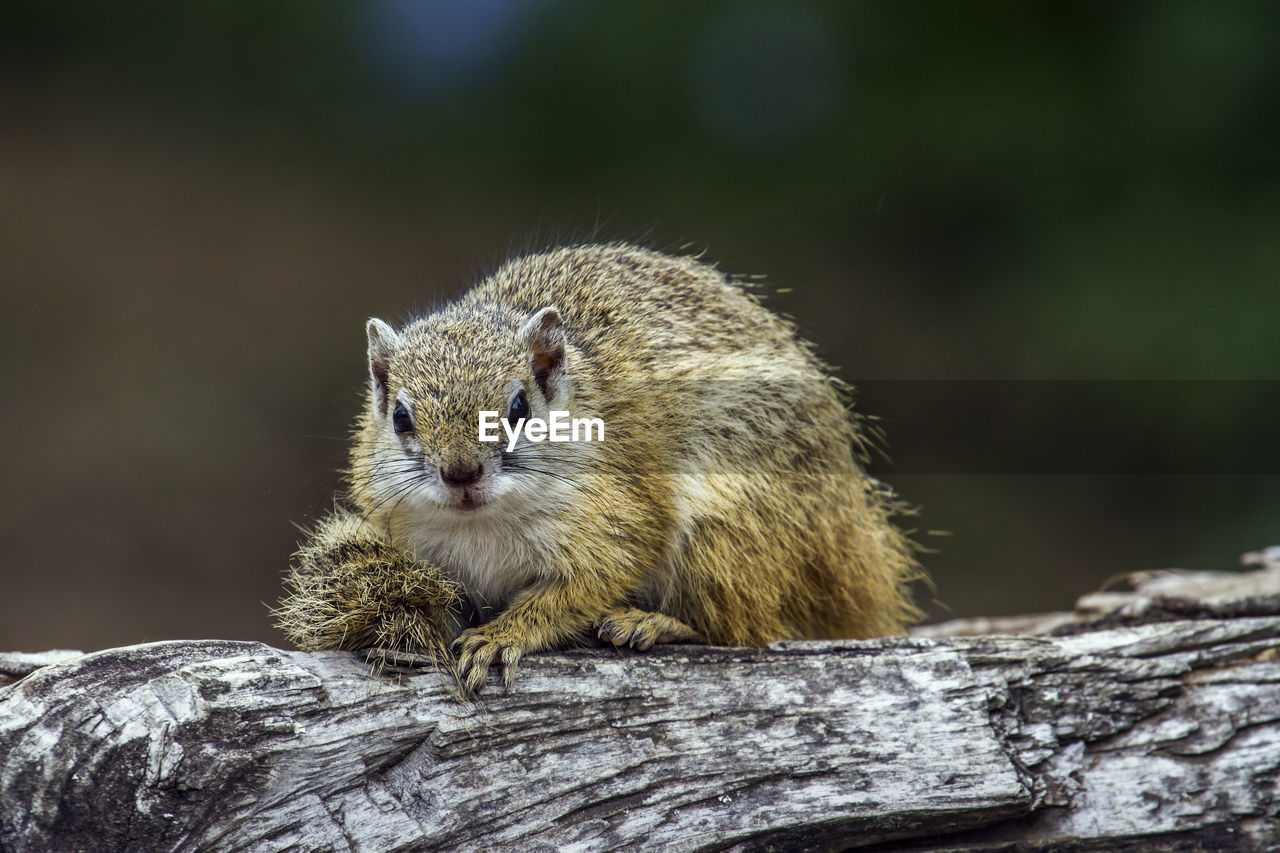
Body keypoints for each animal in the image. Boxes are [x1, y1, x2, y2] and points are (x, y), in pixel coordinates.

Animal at [275, 240, 926, 691]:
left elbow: (579, 589)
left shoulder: (619, 517)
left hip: (729, 540)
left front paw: (502, 635)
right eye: (401, 417)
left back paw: (653, 623)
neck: (481, 524)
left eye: (519, 408)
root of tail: (854, 548)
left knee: (746, 628)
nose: (460, 475)